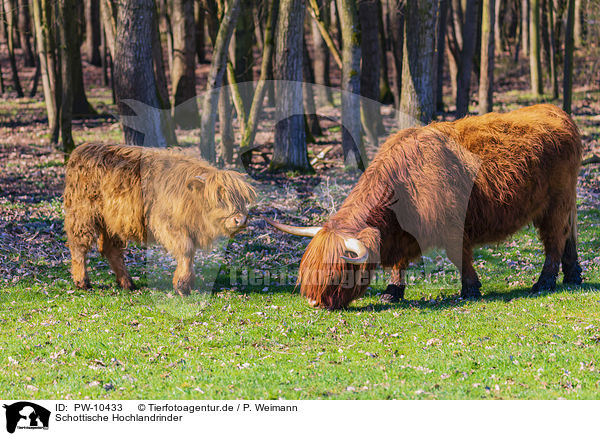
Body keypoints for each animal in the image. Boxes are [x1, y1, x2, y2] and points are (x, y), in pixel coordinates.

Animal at [63, 145, 255, 294]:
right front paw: (182, 286)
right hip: (82, 215)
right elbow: (186, 250)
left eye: (241, 198)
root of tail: (81, 150)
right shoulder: (168, 225)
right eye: (219, 198)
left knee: (112, 250)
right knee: (79, 245)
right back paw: (82, 282)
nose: (240, 220)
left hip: (113, 221)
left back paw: (127, 283)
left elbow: (190, 252)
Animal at [266, 104, 580, 310]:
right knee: (570, 237)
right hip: (567, 203)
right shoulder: (402, 231)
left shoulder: (453, 225)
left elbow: (459, 256)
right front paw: (392, 292)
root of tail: (557, 111)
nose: (314, 302)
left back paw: (544, 283)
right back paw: (573, 276)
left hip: (555, 204)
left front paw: (470, 289)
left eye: (337, 273)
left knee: (554, 240)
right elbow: (399, 263)